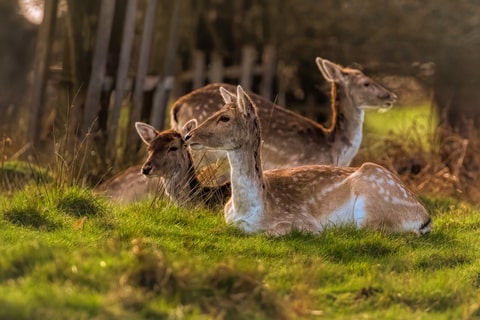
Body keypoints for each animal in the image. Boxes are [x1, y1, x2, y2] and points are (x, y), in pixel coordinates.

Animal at [184, 86, 432, 236]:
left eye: (224, 117)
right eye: (216, 111)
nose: (188, 136)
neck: (249, 209)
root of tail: (425, 216)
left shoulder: (302, 221)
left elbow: (276, 231)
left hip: (371, 209)